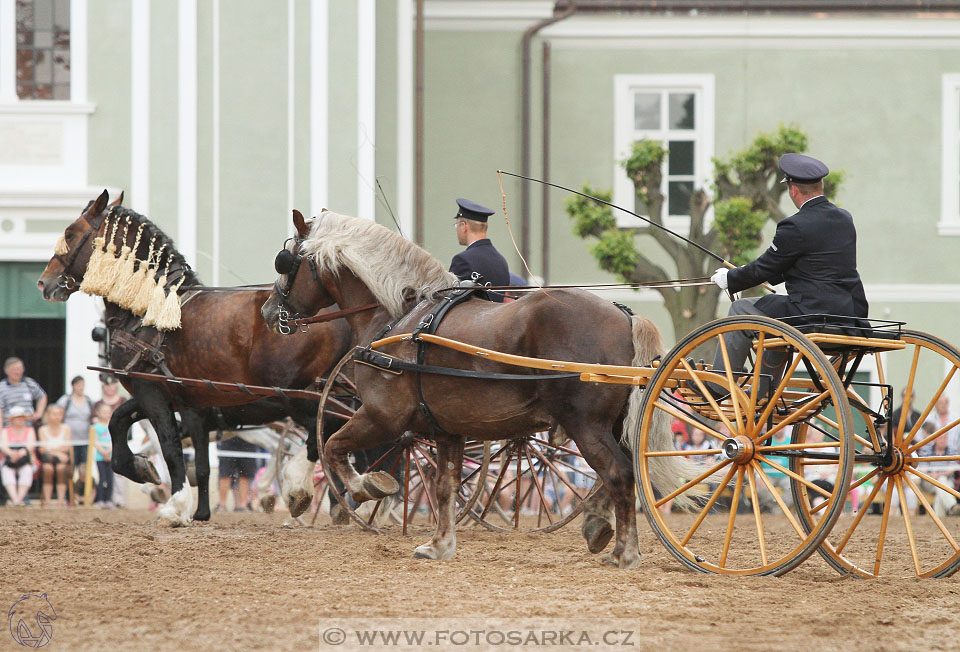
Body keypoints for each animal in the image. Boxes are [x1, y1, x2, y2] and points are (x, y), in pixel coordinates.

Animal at [36, 190, 356, 524]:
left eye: (70, 233)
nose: (45, 282)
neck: (149, 311)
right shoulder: (177, 397)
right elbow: (120, 422)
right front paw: (146, 472)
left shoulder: (152, 392)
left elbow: (169, 447)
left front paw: (174, 504)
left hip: (293, 394)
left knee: (328, 430)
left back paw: (301, 488)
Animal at [258, 211, 688, 568]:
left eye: (286, 261)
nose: (266, 311)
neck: (400, 317)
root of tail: (624, 315)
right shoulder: (447, 429)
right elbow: (444, 486)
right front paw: (439, 544)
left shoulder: (383, 418)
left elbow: (334, 448)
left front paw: (366, 489)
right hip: (608, 426)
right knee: (622, 471)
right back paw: (598, 527)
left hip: (585, 425)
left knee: (618, 473)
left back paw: (624, 552)